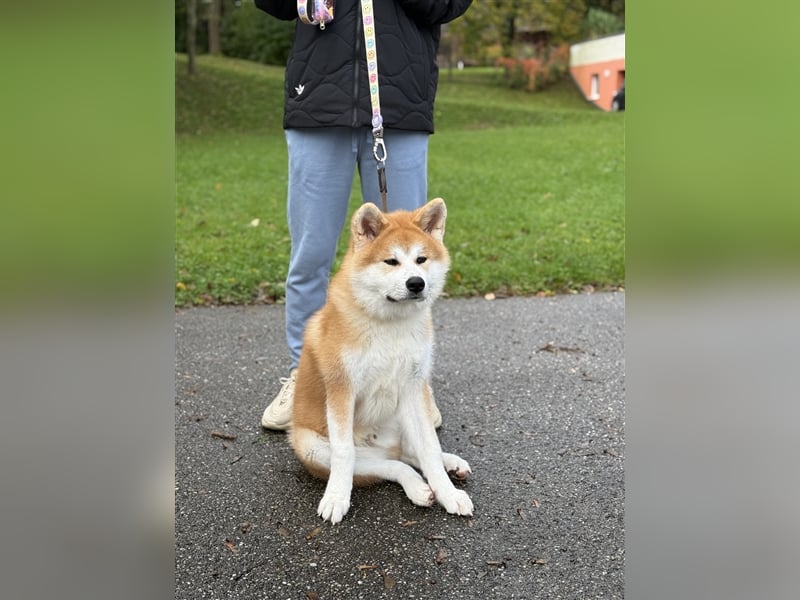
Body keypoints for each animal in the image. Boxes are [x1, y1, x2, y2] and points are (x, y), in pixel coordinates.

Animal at [290, 198, 472, 524]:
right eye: (391, 262)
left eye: (421, 259)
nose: (416, 283)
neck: (389, 325)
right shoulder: (342, 390)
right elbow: (344, 454)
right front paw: (336, 498)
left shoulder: (414, 388)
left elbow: (429, 448)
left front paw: (448, 493)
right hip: (312, 446)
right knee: (387, 465)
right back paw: (417, 487)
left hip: (404, 415)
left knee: (407, 454)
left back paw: (449, 465)